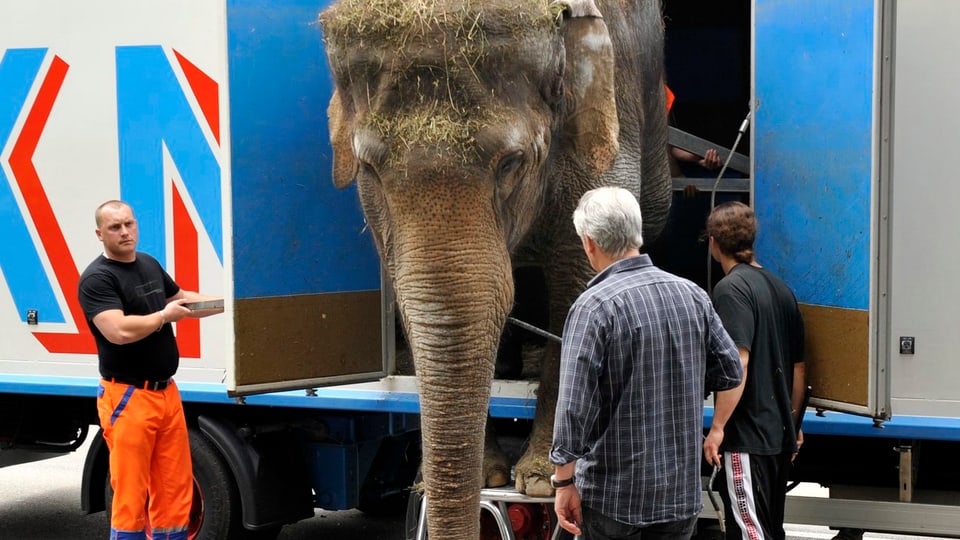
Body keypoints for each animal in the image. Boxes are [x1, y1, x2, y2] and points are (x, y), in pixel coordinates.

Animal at [318, 0, 672, 536]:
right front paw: (491, 475)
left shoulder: (607, 127)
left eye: (511, 163)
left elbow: (575, 279)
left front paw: (542, 480)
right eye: (370, 170)